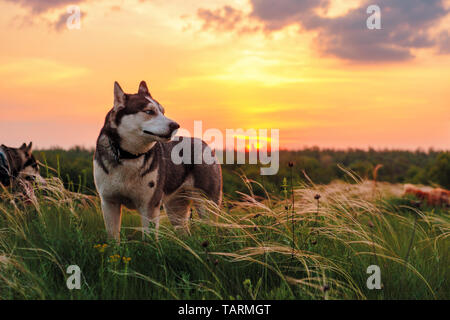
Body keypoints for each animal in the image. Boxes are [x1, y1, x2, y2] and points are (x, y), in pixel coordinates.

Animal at [93, 81, 223, 239]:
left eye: (163, 111)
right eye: (149, 111)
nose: (175, 125)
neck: (129, 156)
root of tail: (204, 143)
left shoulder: (149, 206)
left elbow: (148, 240)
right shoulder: (109, 203)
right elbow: (113, 238)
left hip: (206, 205)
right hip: (176, 209)